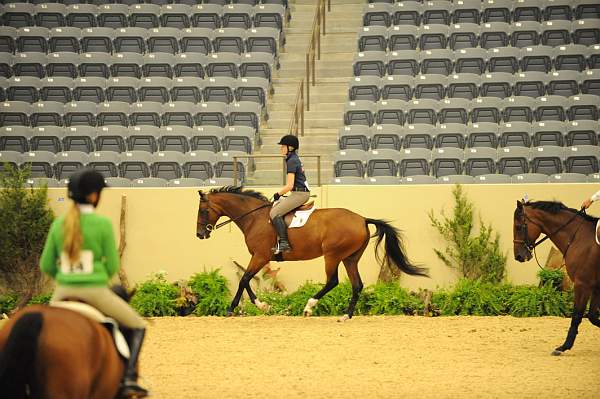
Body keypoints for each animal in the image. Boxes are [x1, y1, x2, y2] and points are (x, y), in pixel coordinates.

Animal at [196, 188, 426, 322]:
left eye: (203, 211)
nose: (200, 234)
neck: (255, 217)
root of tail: (362, 219)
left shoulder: (260, 256)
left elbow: (244, 279)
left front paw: (235, 309)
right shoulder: (261, 258)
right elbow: (246, 280)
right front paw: (262, 305)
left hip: (332, 255)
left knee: (332, 281)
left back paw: (309, 307)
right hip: (350, 258)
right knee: (356, 285)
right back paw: (346, 315)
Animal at [512, 200, 600, 356]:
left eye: (518, 227)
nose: (518, 256)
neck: (579, 237)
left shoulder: (582, 285)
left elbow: (577, 315)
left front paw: (564, 347)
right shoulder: (595, 287)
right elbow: (593, 317)